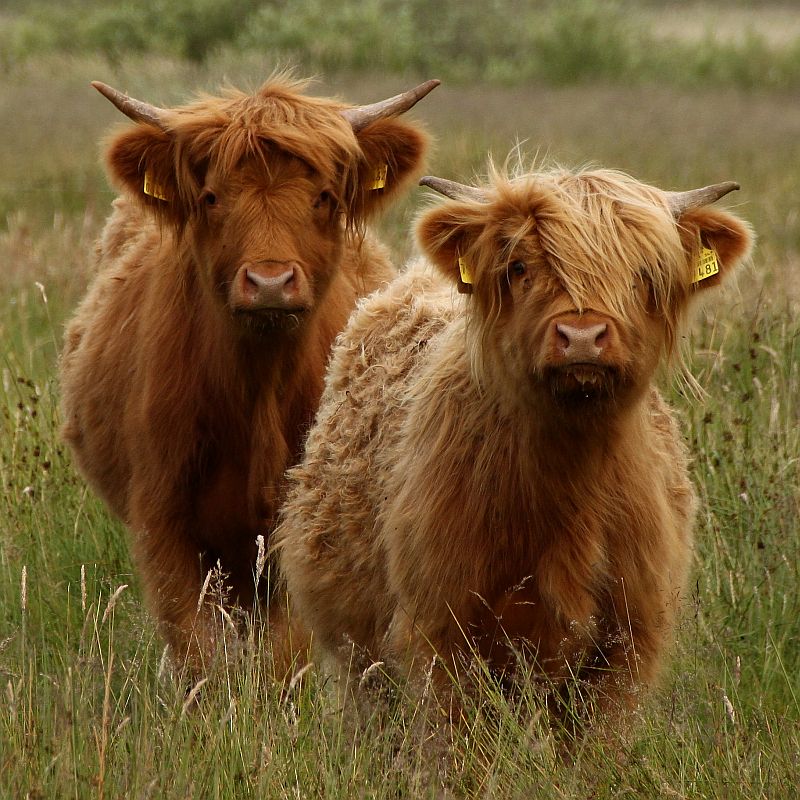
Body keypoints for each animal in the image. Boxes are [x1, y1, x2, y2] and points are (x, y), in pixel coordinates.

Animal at [60, 75, 438, 676]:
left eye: (322, 197)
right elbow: (193, 647)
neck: (257, 391)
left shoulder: (293, 531)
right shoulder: (162, 518)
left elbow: (287, 651)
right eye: (212, 198)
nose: (269, 282)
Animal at [274, 164, 752, 720]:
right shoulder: (442, 633)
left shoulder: (626, 646)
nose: (583, 336)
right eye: (520, 266)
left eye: (641, 272)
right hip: (358, 656)